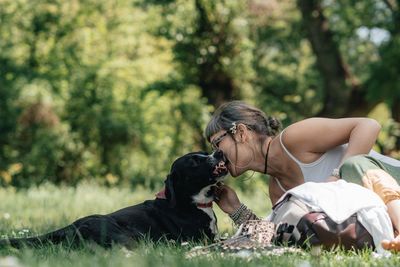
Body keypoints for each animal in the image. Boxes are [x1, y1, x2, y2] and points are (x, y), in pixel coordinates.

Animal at [0, 151, 228, 249]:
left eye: (204, 152)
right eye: (194, 161)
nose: (219, 151)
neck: (191, 202)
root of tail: (71, 226)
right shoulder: (200, 239)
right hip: (129, 235)